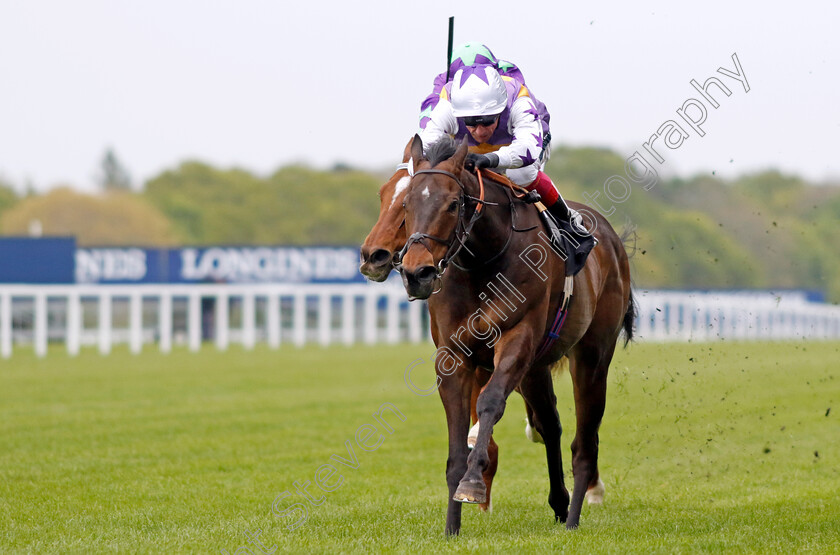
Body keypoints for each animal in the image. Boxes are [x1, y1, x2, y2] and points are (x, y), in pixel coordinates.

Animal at [398, 134, 632, 536]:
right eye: (406, 203)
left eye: (453, 203)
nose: (417, 273)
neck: (482, 260)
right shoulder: (453, 355)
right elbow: (458, 442)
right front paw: (451, 526)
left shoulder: (517, 338)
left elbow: (490, 402)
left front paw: (473, 485)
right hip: (536, 369)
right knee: (550, 425)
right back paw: (559, 503)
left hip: (591, 357)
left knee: (584, 443)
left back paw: (574, 517)